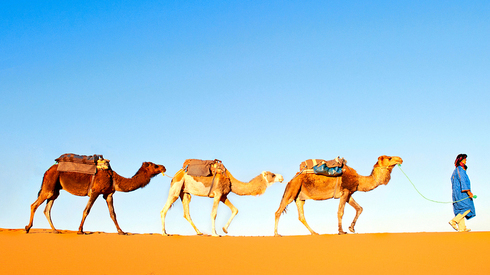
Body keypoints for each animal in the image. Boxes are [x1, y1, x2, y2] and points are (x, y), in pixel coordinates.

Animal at [25, 162, 166, 235]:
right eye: (154, 166)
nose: (163, 166)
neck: (114, 179)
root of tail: (47, 171)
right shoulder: (95, 191)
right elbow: (86, 210)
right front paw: (80, 231)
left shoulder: (108, 194)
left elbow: (113, 214)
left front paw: (122, 232)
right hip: (49, 185)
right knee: (34, 205)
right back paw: (27, 228)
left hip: (55, 190)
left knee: (47, 209)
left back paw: (55, 230)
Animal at [272, 156, 402, 236]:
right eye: (389, 158)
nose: (400, 159)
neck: (359, 180)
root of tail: (291, 179)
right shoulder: (345, 192)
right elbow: (340, 212)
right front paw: (341, 231)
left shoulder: (349, 193)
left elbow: (359, 208)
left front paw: (352, 228)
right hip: (292, 190)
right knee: (278, 211)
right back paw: (276, 234)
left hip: (299, 197)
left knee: (301, 216)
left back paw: (314, 233)